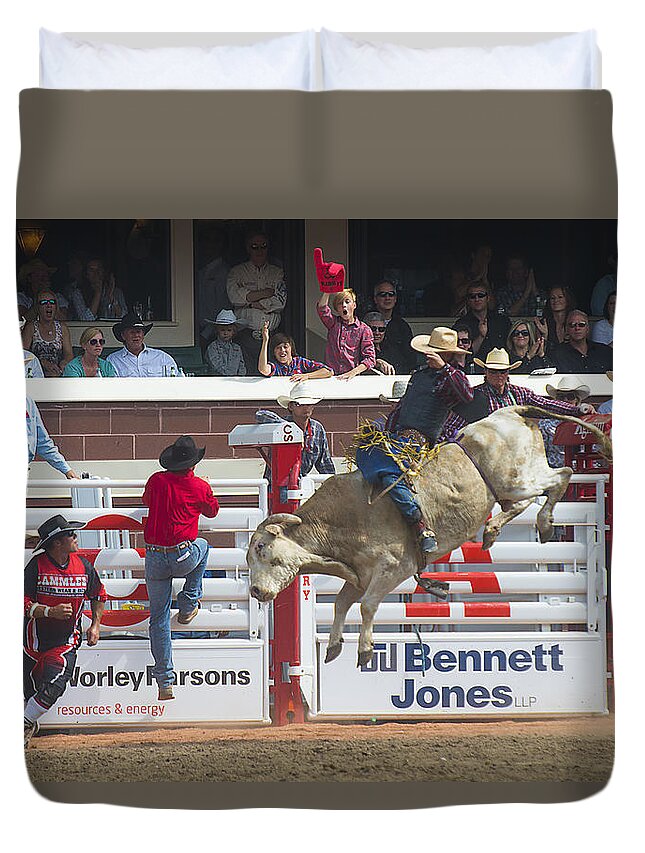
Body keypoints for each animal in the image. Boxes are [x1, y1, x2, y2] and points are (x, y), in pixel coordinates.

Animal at [245, 406, 608, 664]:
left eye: (262, 547)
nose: (255, 591)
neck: (342, 521)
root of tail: (512, 412)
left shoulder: (393, 569)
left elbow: (367, 606)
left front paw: (365, 650)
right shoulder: (360, 576)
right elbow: (341, 603)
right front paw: (335, 646)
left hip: (516, 480)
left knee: (561, 477)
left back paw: (541, 523)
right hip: (513, 486)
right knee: (533, 495)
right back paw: (496, 530)